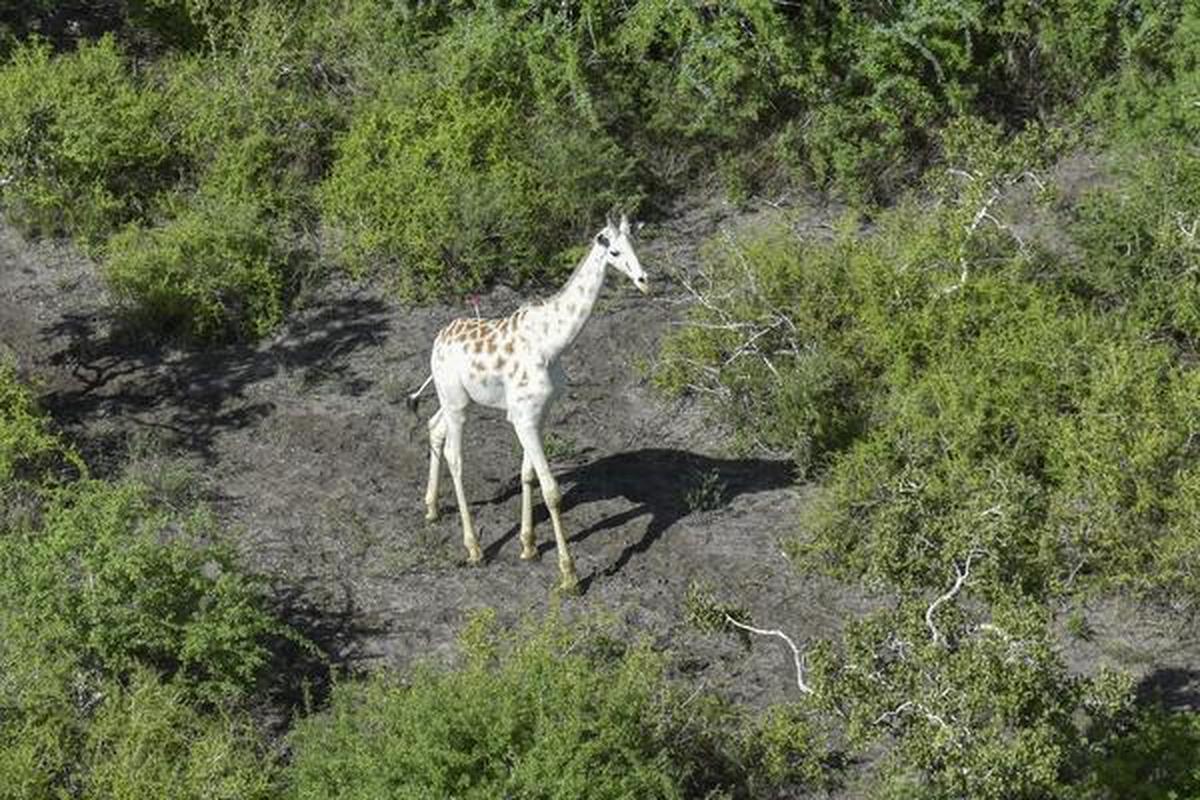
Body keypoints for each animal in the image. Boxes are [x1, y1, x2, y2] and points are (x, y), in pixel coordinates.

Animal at [407, 214, 649, 592]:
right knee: (455, 457)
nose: (643, 281)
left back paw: (431, 508)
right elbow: (551, 491)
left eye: (635, 244)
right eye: (613, 251)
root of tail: (437, 341)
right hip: (457, 404)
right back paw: (474, 548)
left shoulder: (539, 414)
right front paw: (570, 575)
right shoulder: (523, 416)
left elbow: (527, 475)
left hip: (456, 399)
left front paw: (529, 546)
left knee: (434, 428)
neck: (552, 344)